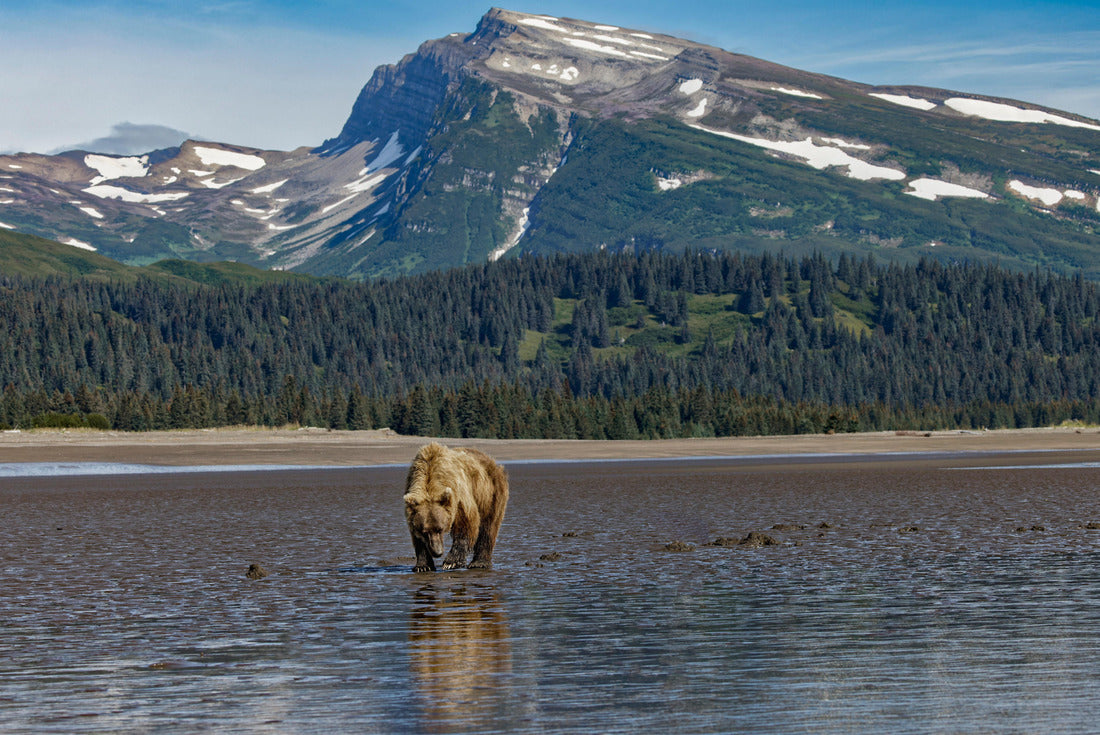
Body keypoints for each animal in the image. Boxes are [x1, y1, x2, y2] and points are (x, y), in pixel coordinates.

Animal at [403, 442, 509, 573]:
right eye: (425, 532)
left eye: (440, 529)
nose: (438, 552)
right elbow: (417, 539)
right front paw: (423, 566)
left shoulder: (458, 497)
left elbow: (467, 524)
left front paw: (450, 562)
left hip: (490, 493)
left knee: (488, 527)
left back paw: (479, 563)